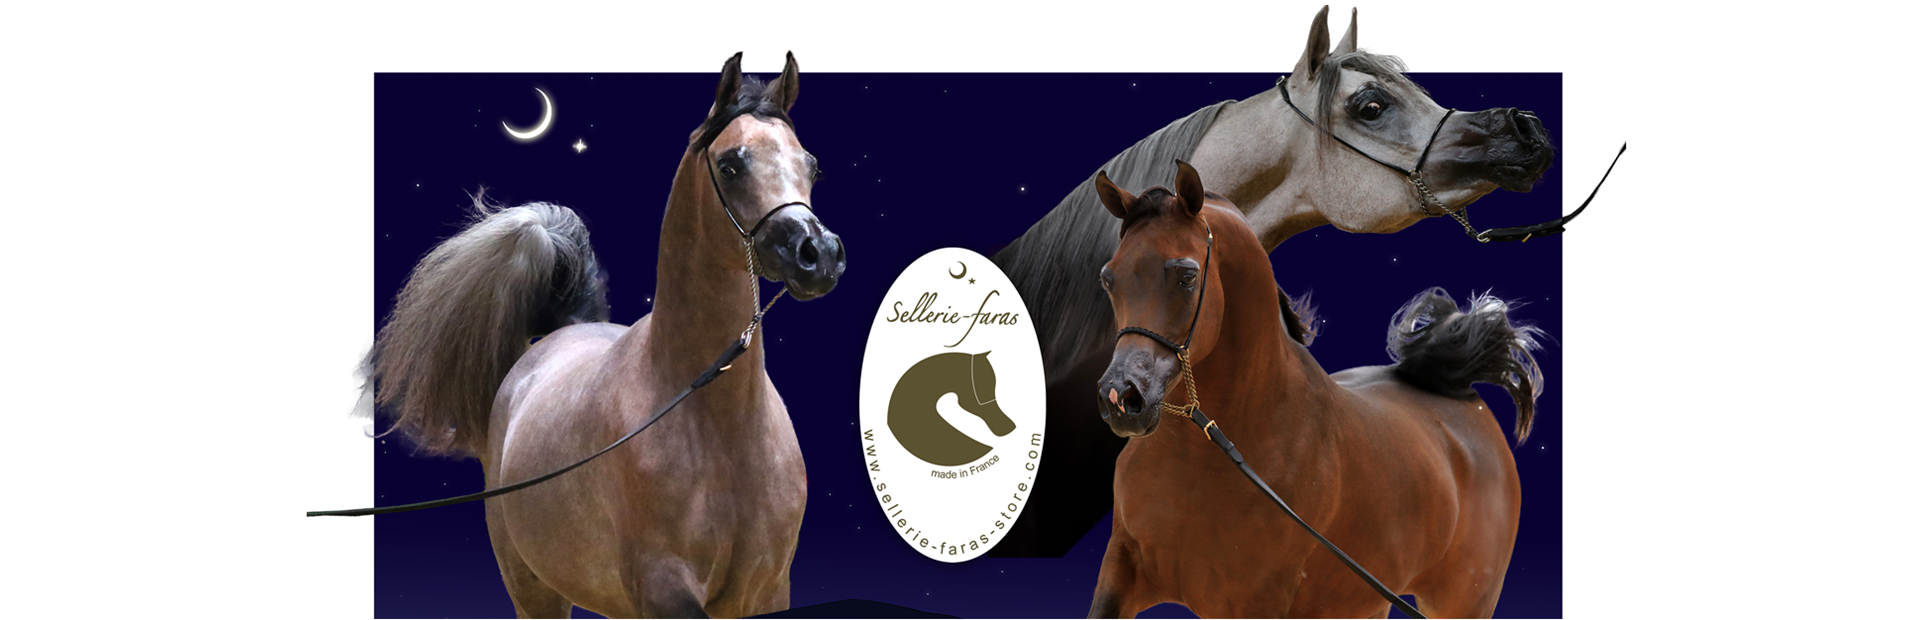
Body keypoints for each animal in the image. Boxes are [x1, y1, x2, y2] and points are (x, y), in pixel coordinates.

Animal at [358, 53, 846, 618]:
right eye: (730, 164)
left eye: (811, 165)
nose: (819, 254)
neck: (717, 427)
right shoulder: (664, 592)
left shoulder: (769, 589)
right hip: (535, 591)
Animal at [1086, 161, 1542, 618]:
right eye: (1108, 278)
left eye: (1186, 275)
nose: (1121, 398)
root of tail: (1461, 394)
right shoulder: (1122, 568)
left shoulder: (1259, 601)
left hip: (1462, 602)